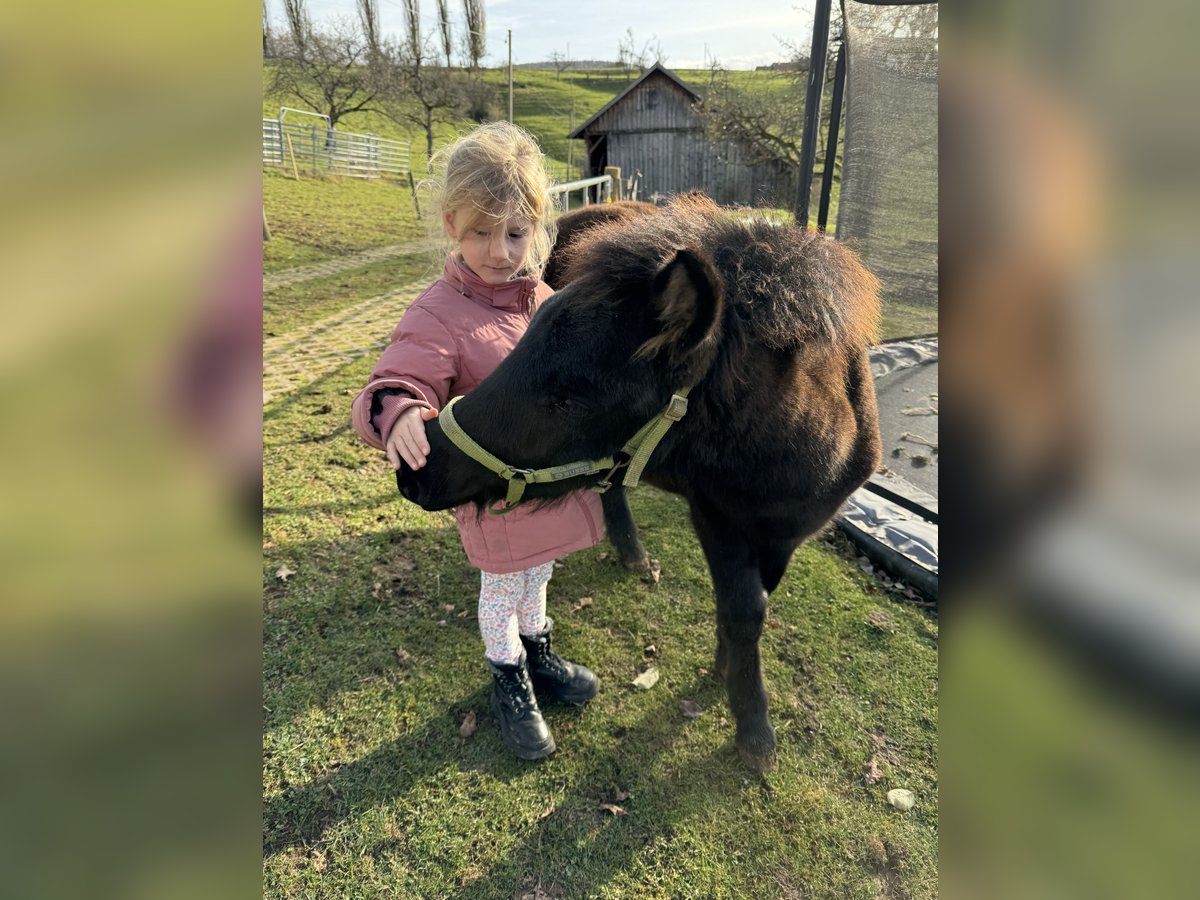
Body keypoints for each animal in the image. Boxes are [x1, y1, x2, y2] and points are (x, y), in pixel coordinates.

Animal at [398, 194, 878, 772]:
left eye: (570, 399)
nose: (417, 468)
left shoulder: (786, 537)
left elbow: (750, 607)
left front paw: (729, 684)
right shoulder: (714, 518)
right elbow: (743, 610)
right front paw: (753, 730)